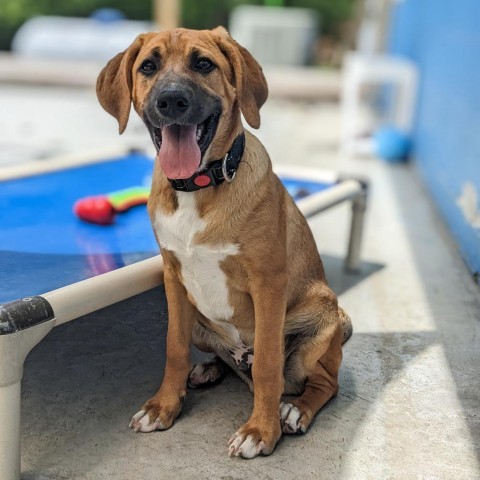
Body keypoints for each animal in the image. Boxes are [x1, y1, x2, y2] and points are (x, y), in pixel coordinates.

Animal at [97, 27, 352, 462]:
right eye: (148, 66)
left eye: (204, 64)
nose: (171, 101)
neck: (198, 186)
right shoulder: (173, 278)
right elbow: (174, 347)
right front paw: (164, 405)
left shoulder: (268, 283)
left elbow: (267, 363)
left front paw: (261, 431)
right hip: (202, 322)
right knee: (222, 359)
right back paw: (208, 370)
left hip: (322, 319)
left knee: (322, 382)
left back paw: (294, 411)